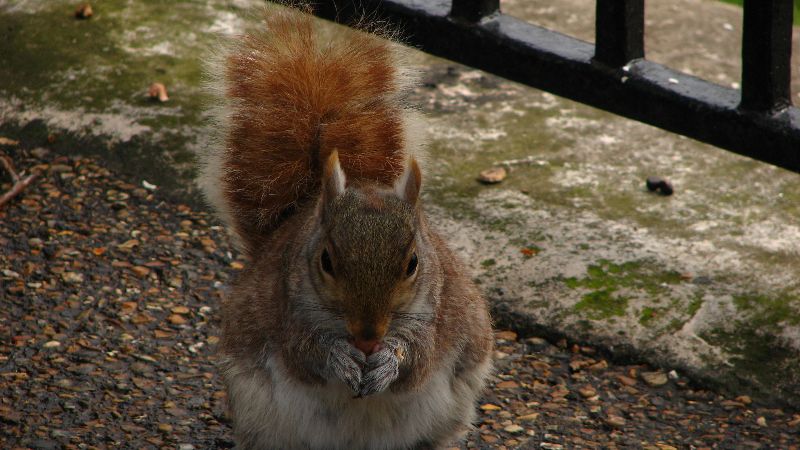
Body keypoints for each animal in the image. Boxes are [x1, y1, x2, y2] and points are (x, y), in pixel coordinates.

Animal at [198, 7, 494, 450]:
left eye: (413, 263)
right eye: (326, 261)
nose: (368, 337)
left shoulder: (437, 307)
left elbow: (419, 357)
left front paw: (389, 360)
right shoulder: (288, 307)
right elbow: (303, 352)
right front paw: (337, 356)